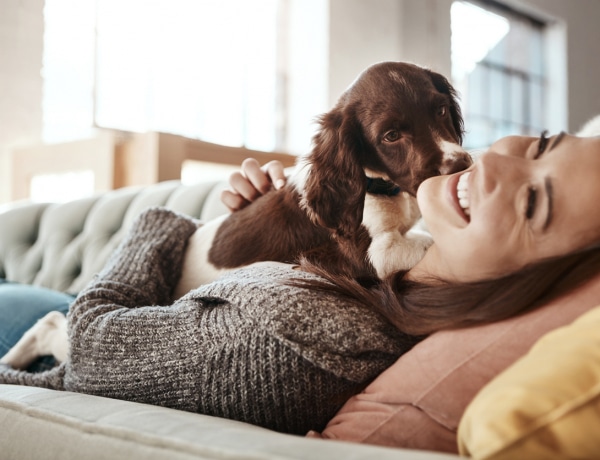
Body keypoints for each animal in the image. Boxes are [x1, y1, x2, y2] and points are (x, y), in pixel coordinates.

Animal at [1, 62, 468, 370]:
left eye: (441, 110)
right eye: (391, 135)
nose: (461, 166)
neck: (377, 186)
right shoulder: (369, 254)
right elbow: (424, 240)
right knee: (53, 324)